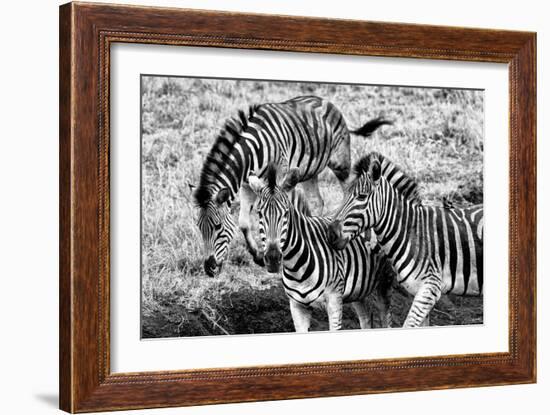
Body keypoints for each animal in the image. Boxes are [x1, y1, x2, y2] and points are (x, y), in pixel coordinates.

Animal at [190, 94, 392, 276]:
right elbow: (243, 223)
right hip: (310, 171)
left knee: (350, 191)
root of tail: (327, 101)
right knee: (317, 202)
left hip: (340, 163)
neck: (251, 153)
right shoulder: (247, 185)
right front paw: (257, 255)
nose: (209, 269)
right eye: (199, 227)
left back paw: (364, 236)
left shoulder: (280, 176)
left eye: (218, 227)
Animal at [248, 164, 394, 334]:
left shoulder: (334, 301)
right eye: (259, 214)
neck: (296, 266)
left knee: (386, 319)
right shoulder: (297, 307)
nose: (272, 258)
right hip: (359, 290)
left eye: (286, 214)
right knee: (366, 318)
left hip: (385, 282)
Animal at [326, 153, 486, 328]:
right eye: (344, 197)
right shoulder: (419, 291)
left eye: (361, 197)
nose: (330, 234)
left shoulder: (430, 288)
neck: (411, 232)